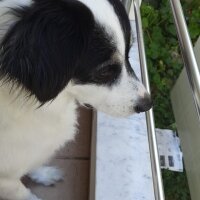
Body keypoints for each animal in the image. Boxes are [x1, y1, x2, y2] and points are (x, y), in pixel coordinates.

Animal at [0, 0, 152, 200]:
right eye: (104, 71)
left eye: (128, 55)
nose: (148, 104)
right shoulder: (5, 179)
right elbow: (22, 193)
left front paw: (44, 173)